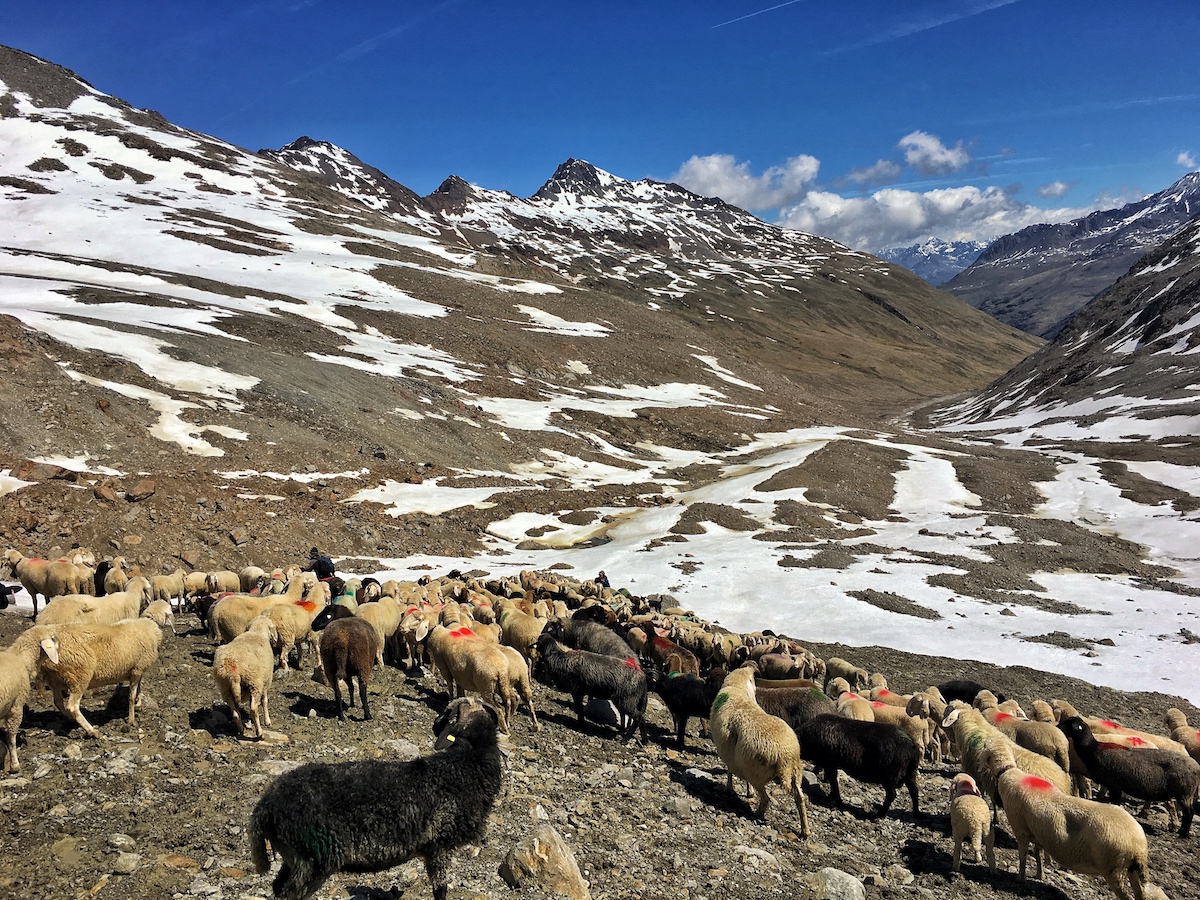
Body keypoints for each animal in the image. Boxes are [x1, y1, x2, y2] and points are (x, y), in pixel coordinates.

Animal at [248, 696, 501, 900]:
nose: (434, 724)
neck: (469, 760)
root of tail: (265, 807)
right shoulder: (439, 844)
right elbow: (440, 890)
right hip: (312, 858)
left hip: (293, 858)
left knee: (277, 887)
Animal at [705, 672, 811, 840]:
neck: (737, 689)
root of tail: (786, 756)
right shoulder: (742, 759)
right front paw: (748, 792)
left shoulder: (729, 752)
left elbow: (729, 770)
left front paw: (730, 788)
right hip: (795, 773)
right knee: (800, 798)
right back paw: (805, 831)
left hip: (757, 773)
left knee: (766, 799)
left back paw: (757, 814)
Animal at [1060, 720, 1200, 840]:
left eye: (1069, 724)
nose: (1057, 727)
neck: (1092, 748)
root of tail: (1197, 767)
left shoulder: (1114, 784)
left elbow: (1115, 801)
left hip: (1185, 793)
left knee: (1189, 813)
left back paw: (1183, 834)